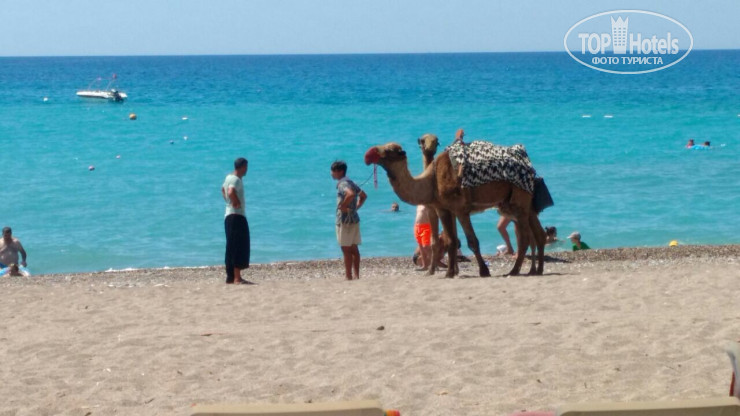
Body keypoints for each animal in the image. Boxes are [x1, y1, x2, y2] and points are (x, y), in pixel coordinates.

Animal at [366, 139, 546, 277]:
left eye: (389, 150)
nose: (367, 155)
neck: (432, 179)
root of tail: (528, 164)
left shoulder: (460, 209)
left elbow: (472, 241)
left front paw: (484, 271)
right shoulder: (444, 209)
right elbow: (451, 240)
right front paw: (450, 273)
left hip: (519, 199)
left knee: (525, 238)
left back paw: (514, 271)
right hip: (519, 202)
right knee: (538, 234)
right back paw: (536, 270)